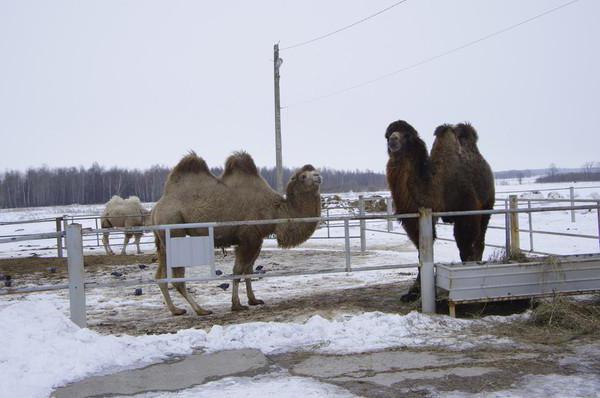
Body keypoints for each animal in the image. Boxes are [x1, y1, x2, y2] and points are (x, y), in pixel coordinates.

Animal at [152, 151, 324, 316]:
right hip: (174, 229)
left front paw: (253, 300)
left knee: (161, 276)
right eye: (303, 176)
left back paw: (176, 310)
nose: (318, 176)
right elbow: (238, 271)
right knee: (177, 279)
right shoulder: (248, 238)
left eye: (314, 170)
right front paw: (237, 305)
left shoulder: (257, 239)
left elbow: (249, 270)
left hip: (164, 240)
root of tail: (156, 208)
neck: (276, 210)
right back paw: (201, 310)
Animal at [386, 121, 494, 302]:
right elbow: (421, 254)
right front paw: (413, 293)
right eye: (387, 135)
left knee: (480, 241)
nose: (393, 140)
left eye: (407, 135)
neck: (437, 188)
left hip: (487, 205)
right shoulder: (420, 218)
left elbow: (465, 249)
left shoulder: (466, 212)